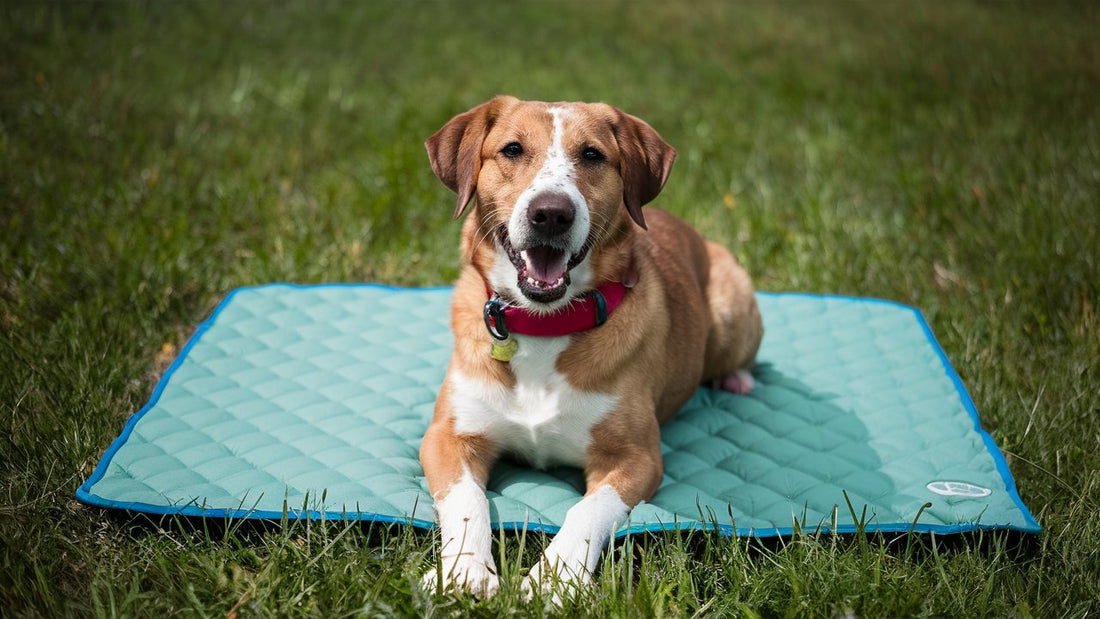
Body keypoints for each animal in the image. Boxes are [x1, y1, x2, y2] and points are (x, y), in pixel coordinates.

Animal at [415, 96, 761, 602]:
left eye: (593, 155)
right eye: (512, 149)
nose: (551, 213)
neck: (544, 325)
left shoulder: (636, 459)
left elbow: (587, 511)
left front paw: (555, 577)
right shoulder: (447, 437)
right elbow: (467, 498)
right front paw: (463, 570)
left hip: (732, 311)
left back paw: (737, 379)